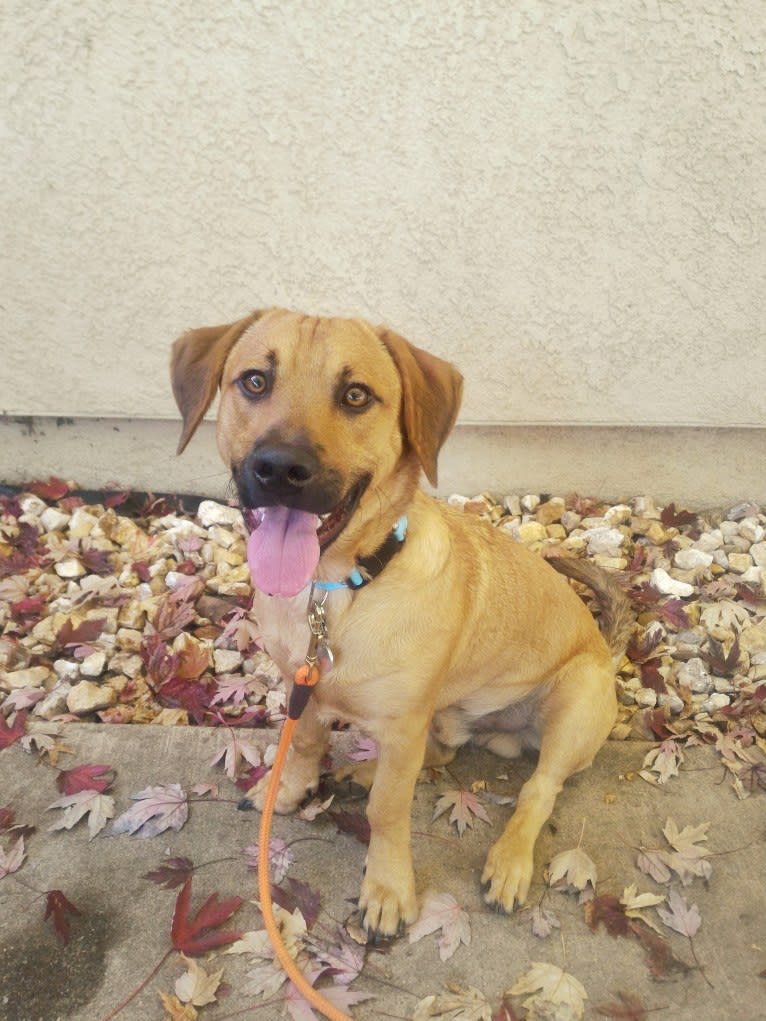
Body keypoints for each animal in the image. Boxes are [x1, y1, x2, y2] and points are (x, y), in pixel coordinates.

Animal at [170, 308, 633, 939]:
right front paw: (289, 789)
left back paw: (510, 861)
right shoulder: (302, 687)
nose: (279, 469)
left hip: (573, 705)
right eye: (255, 382)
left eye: (356, 395)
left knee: (537, 790)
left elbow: (388, 811)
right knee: (438, 757)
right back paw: (365, 772)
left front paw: (387, 887)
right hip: (439, 721)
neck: (334, 593)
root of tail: (607, 650)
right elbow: (307, 744)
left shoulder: (402, 719)